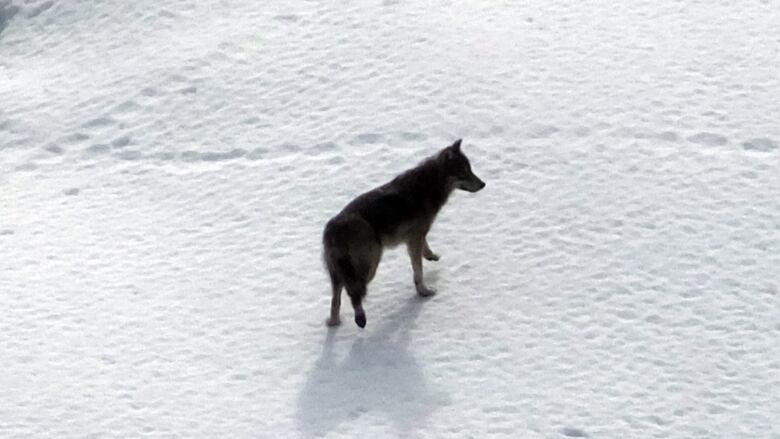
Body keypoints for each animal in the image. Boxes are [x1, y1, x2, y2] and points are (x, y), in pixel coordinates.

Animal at [322, 139, 482, 328]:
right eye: (464, 173)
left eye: (470, 169)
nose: (483, 184)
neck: (429, 185)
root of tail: (332, 228)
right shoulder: (414, 238)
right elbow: (418, 271)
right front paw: (424, 292)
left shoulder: (416, 236)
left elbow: (425, 248)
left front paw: (431, 256)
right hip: (370, 266)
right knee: (352, 292)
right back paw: (360, 318)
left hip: (339, 272)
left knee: (336, 297)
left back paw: (334, 322)